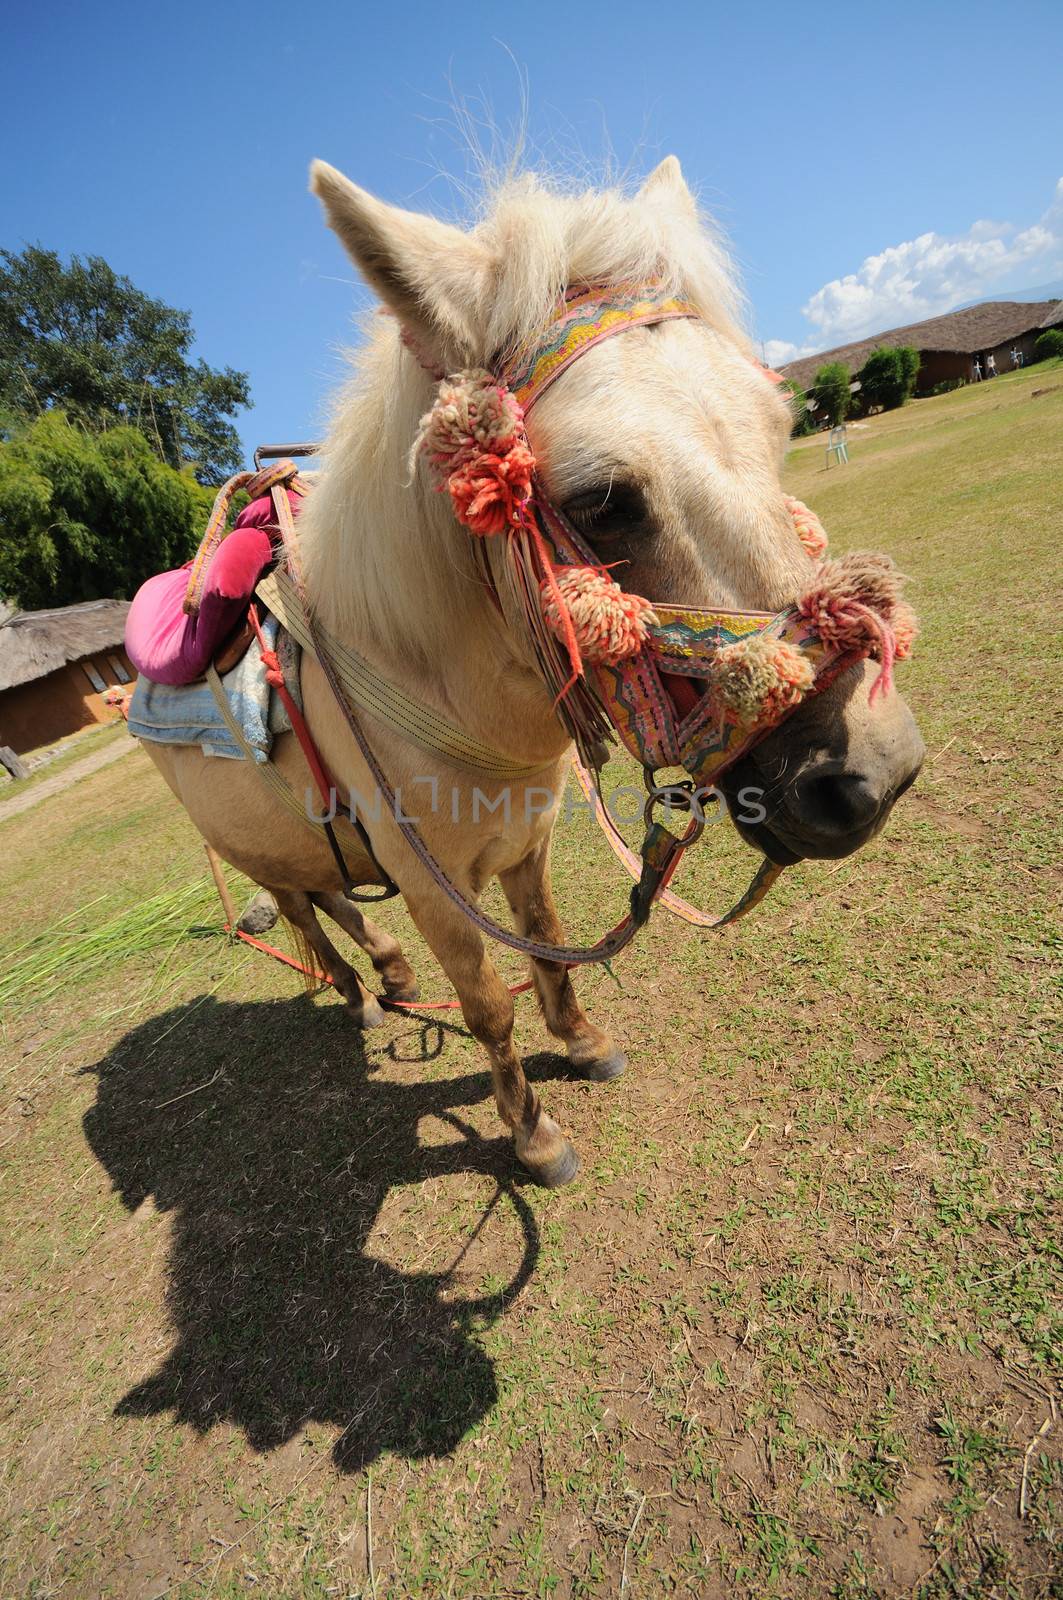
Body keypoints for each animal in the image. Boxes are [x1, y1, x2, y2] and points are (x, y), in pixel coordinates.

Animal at [145, 156, 928, 1190]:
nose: (877, 775)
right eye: (601, 500)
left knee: (328, 899)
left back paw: (387, 975)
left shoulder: (527, 844)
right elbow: (487, 1005)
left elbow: (551, 947)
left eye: (779, 427)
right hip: (247, 849)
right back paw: (360, 993)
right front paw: (532, 1133)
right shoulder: (434, 886)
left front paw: (583, 1042)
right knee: (299, 911)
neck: (442, 692)